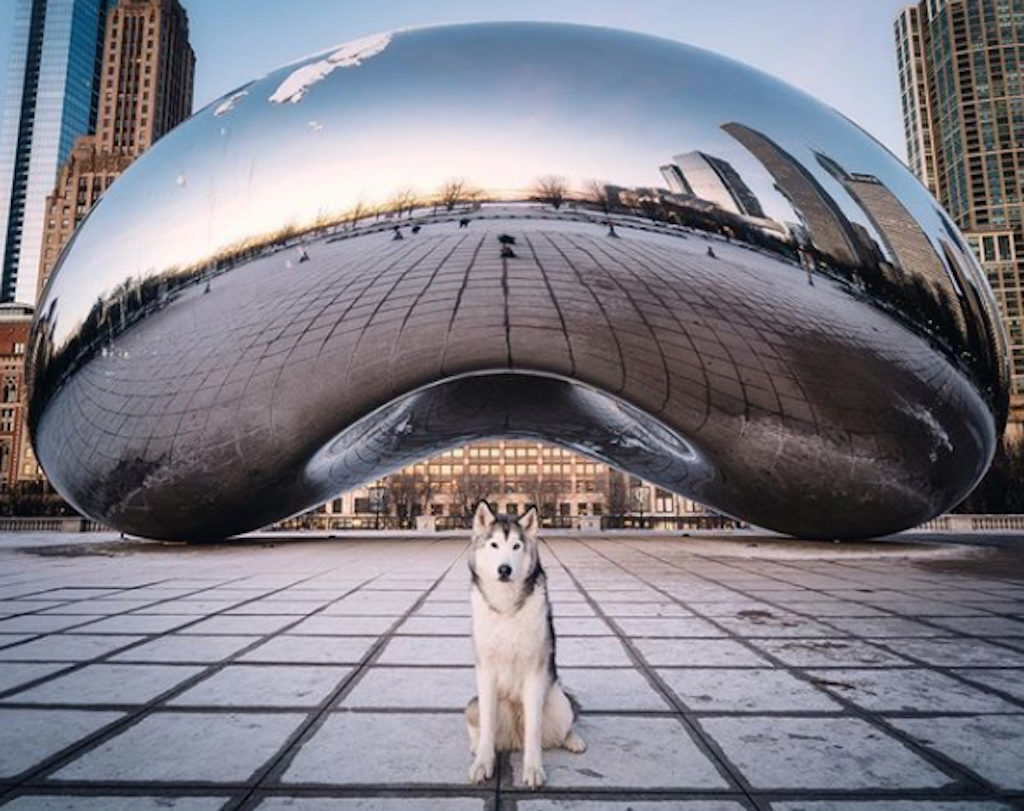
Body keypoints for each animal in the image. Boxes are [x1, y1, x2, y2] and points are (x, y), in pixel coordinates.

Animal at [464, 499, 585, 786]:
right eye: (494, 544)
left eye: (516, 546)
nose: (504, 569)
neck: (507, 608)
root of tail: (514, 739)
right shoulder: (486, 671)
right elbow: (487, 727)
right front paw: (483, 762)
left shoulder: (534, 672)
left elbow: (534, 729)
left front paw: (532, 768)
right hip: (473, 705)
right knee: (478, 724)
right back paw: (476, 746)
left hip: (559, 704)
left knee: (563, 726)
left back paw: (573, 740)